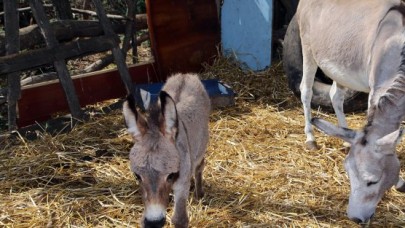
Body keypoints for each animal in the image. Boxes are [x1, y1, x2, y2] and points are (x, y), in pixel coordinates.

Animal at [122, 73, 210, 228]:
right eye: (137, 176)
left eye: (171, 175)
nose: (154, 222)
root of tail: (185, 75)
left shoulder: (181, 184)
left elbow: (180, 219)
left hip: (201, 146)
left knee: (199, 166)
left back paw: (199, 193)